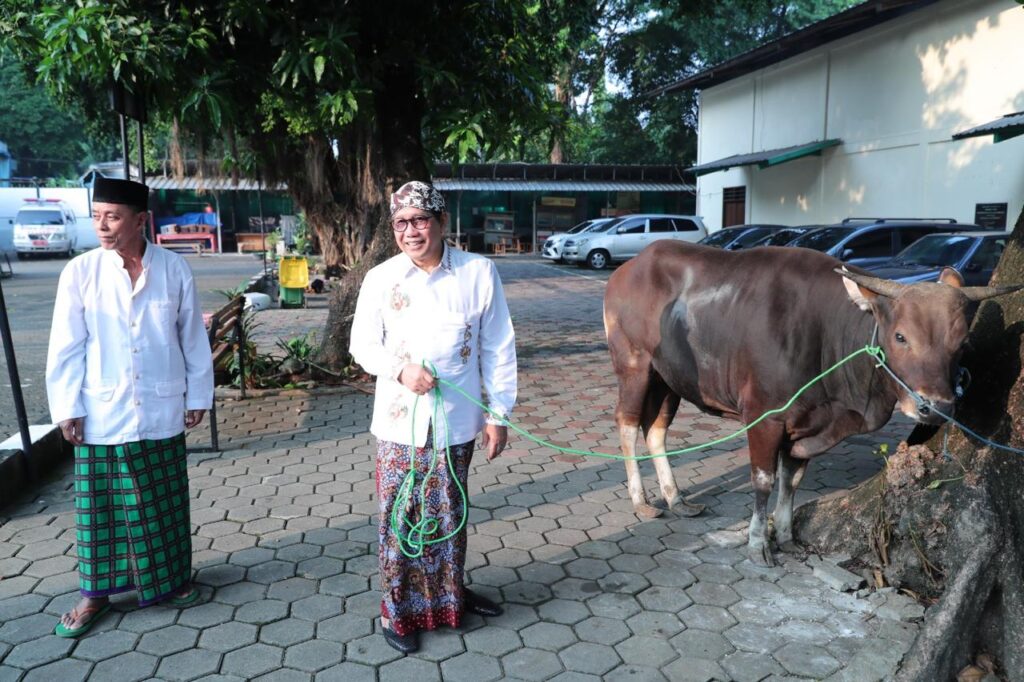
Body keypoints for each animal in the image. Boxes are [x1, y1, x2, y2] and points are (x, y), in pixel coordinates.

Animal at [606, 238, 1015, 561]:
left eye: (961, 342)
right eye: (900, 336)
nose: (935, 406)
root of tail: (629, 268)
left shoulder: (806, 423)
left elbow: (792, 481)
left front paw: (785, 536)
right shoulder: (765, 416)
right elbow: (763, 480)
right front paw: (758, 544)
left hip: (668, 379)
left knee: (655, 430)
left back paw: (676, 499)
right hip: (635, 366)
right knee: (627, 425)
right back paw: (641, 501)